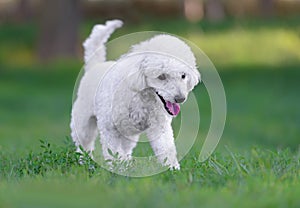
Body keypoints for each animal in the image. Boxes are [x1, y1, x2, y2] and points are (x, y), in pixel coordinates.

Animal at [70, 19, 200, 170]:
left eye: (183, 76)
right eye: (161, 76)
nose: (180, 98)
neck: (140, 97)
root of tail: (94, 65)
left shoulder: (159, 126)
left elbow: (165, 147)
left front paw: (172, 169)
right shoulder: (109, 127)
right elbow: (112, 151)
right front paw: (115, 169)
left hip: (128, 134)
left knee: (126, 149)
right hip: (83, 122)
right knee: (83, 144)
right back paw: (84, 162)